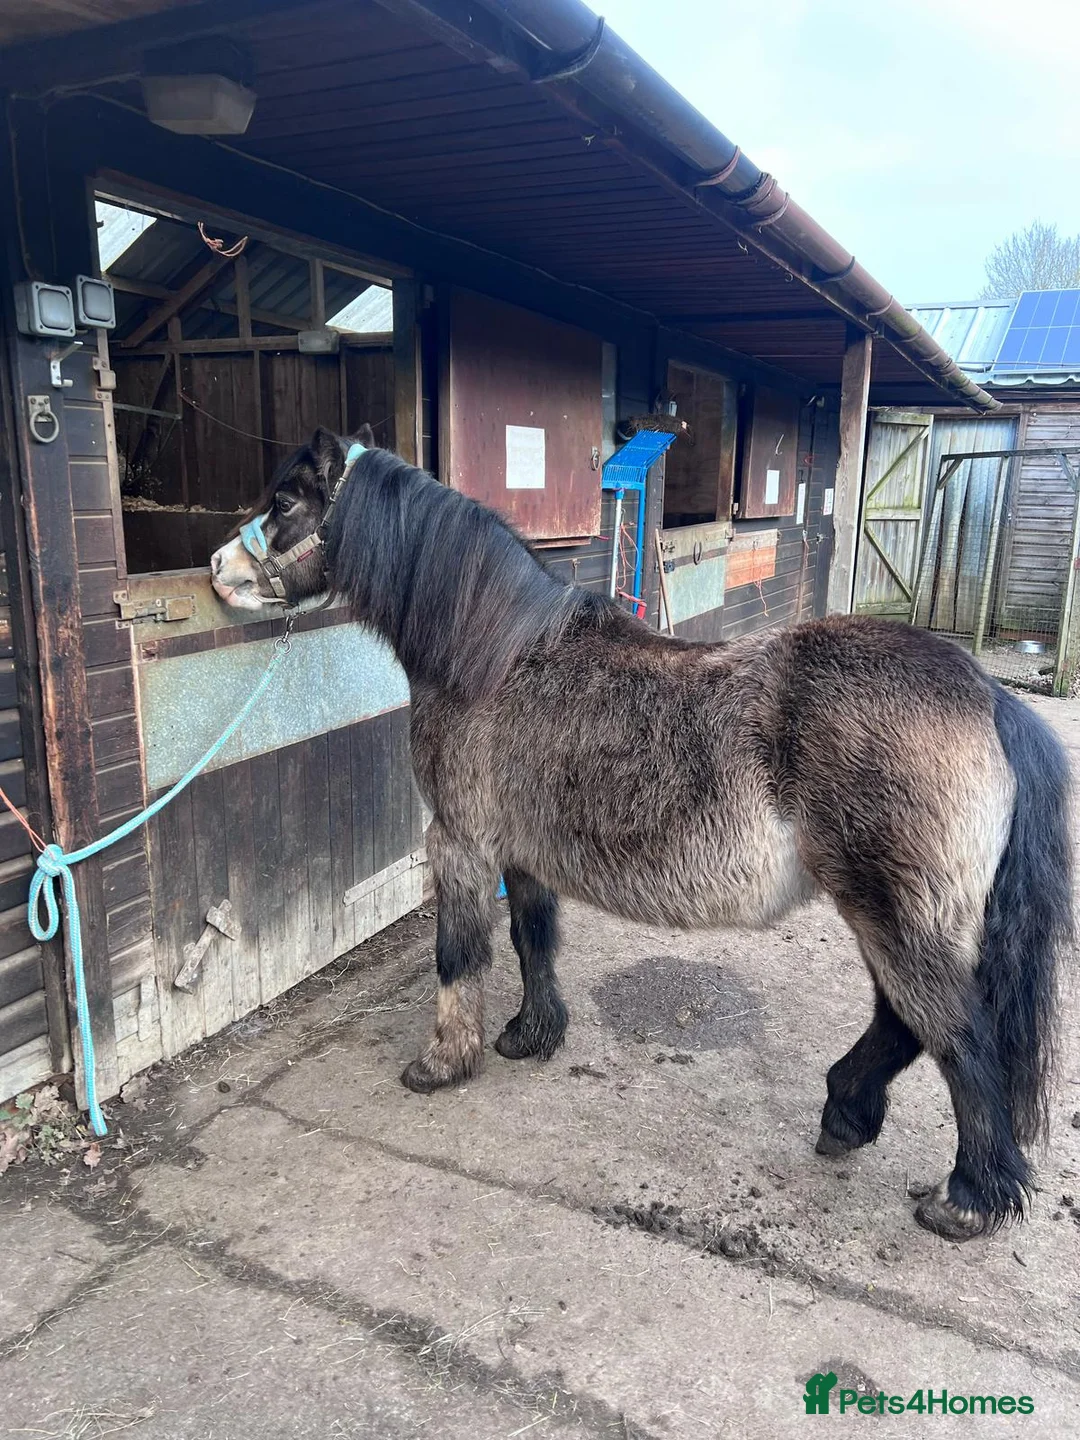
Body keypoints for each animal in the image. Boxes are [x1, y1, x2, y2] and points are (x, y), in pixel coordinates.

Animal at [210, 426, 1072, 1242]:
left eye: (285, 501)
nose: (219, 570)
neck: (494, 655)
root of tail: (989, 698)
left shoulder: (460, 843)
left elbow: (458, 956)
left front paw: (442, 1062)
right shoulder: (522, 854)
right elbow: (532, 939)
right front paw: (530, 1035)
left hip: (893, 913)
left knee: (954, 1034)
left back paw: (966, 1198)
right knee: (904, 1023)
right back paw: (847, 1115)